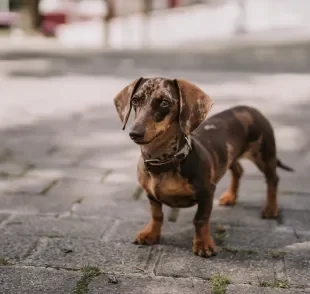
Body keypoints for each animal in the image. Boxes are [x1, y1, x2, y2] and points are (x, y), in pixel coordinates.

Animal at [113, 76, 294, 258]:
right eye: (135, 100)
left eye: (164, 102)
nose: (134, 133)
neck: (163, 162)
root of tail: (249, 108)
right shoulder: (150, 194)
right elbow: (156, 214)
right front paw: (150, 233)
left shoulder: (207, 192)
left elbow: (200, 219)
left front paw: (203, 244)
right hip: (228, 156)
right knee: (238, 170)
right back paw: (230, 197)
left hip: (264, 155)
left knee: (273, 179)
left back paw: (271, 208)